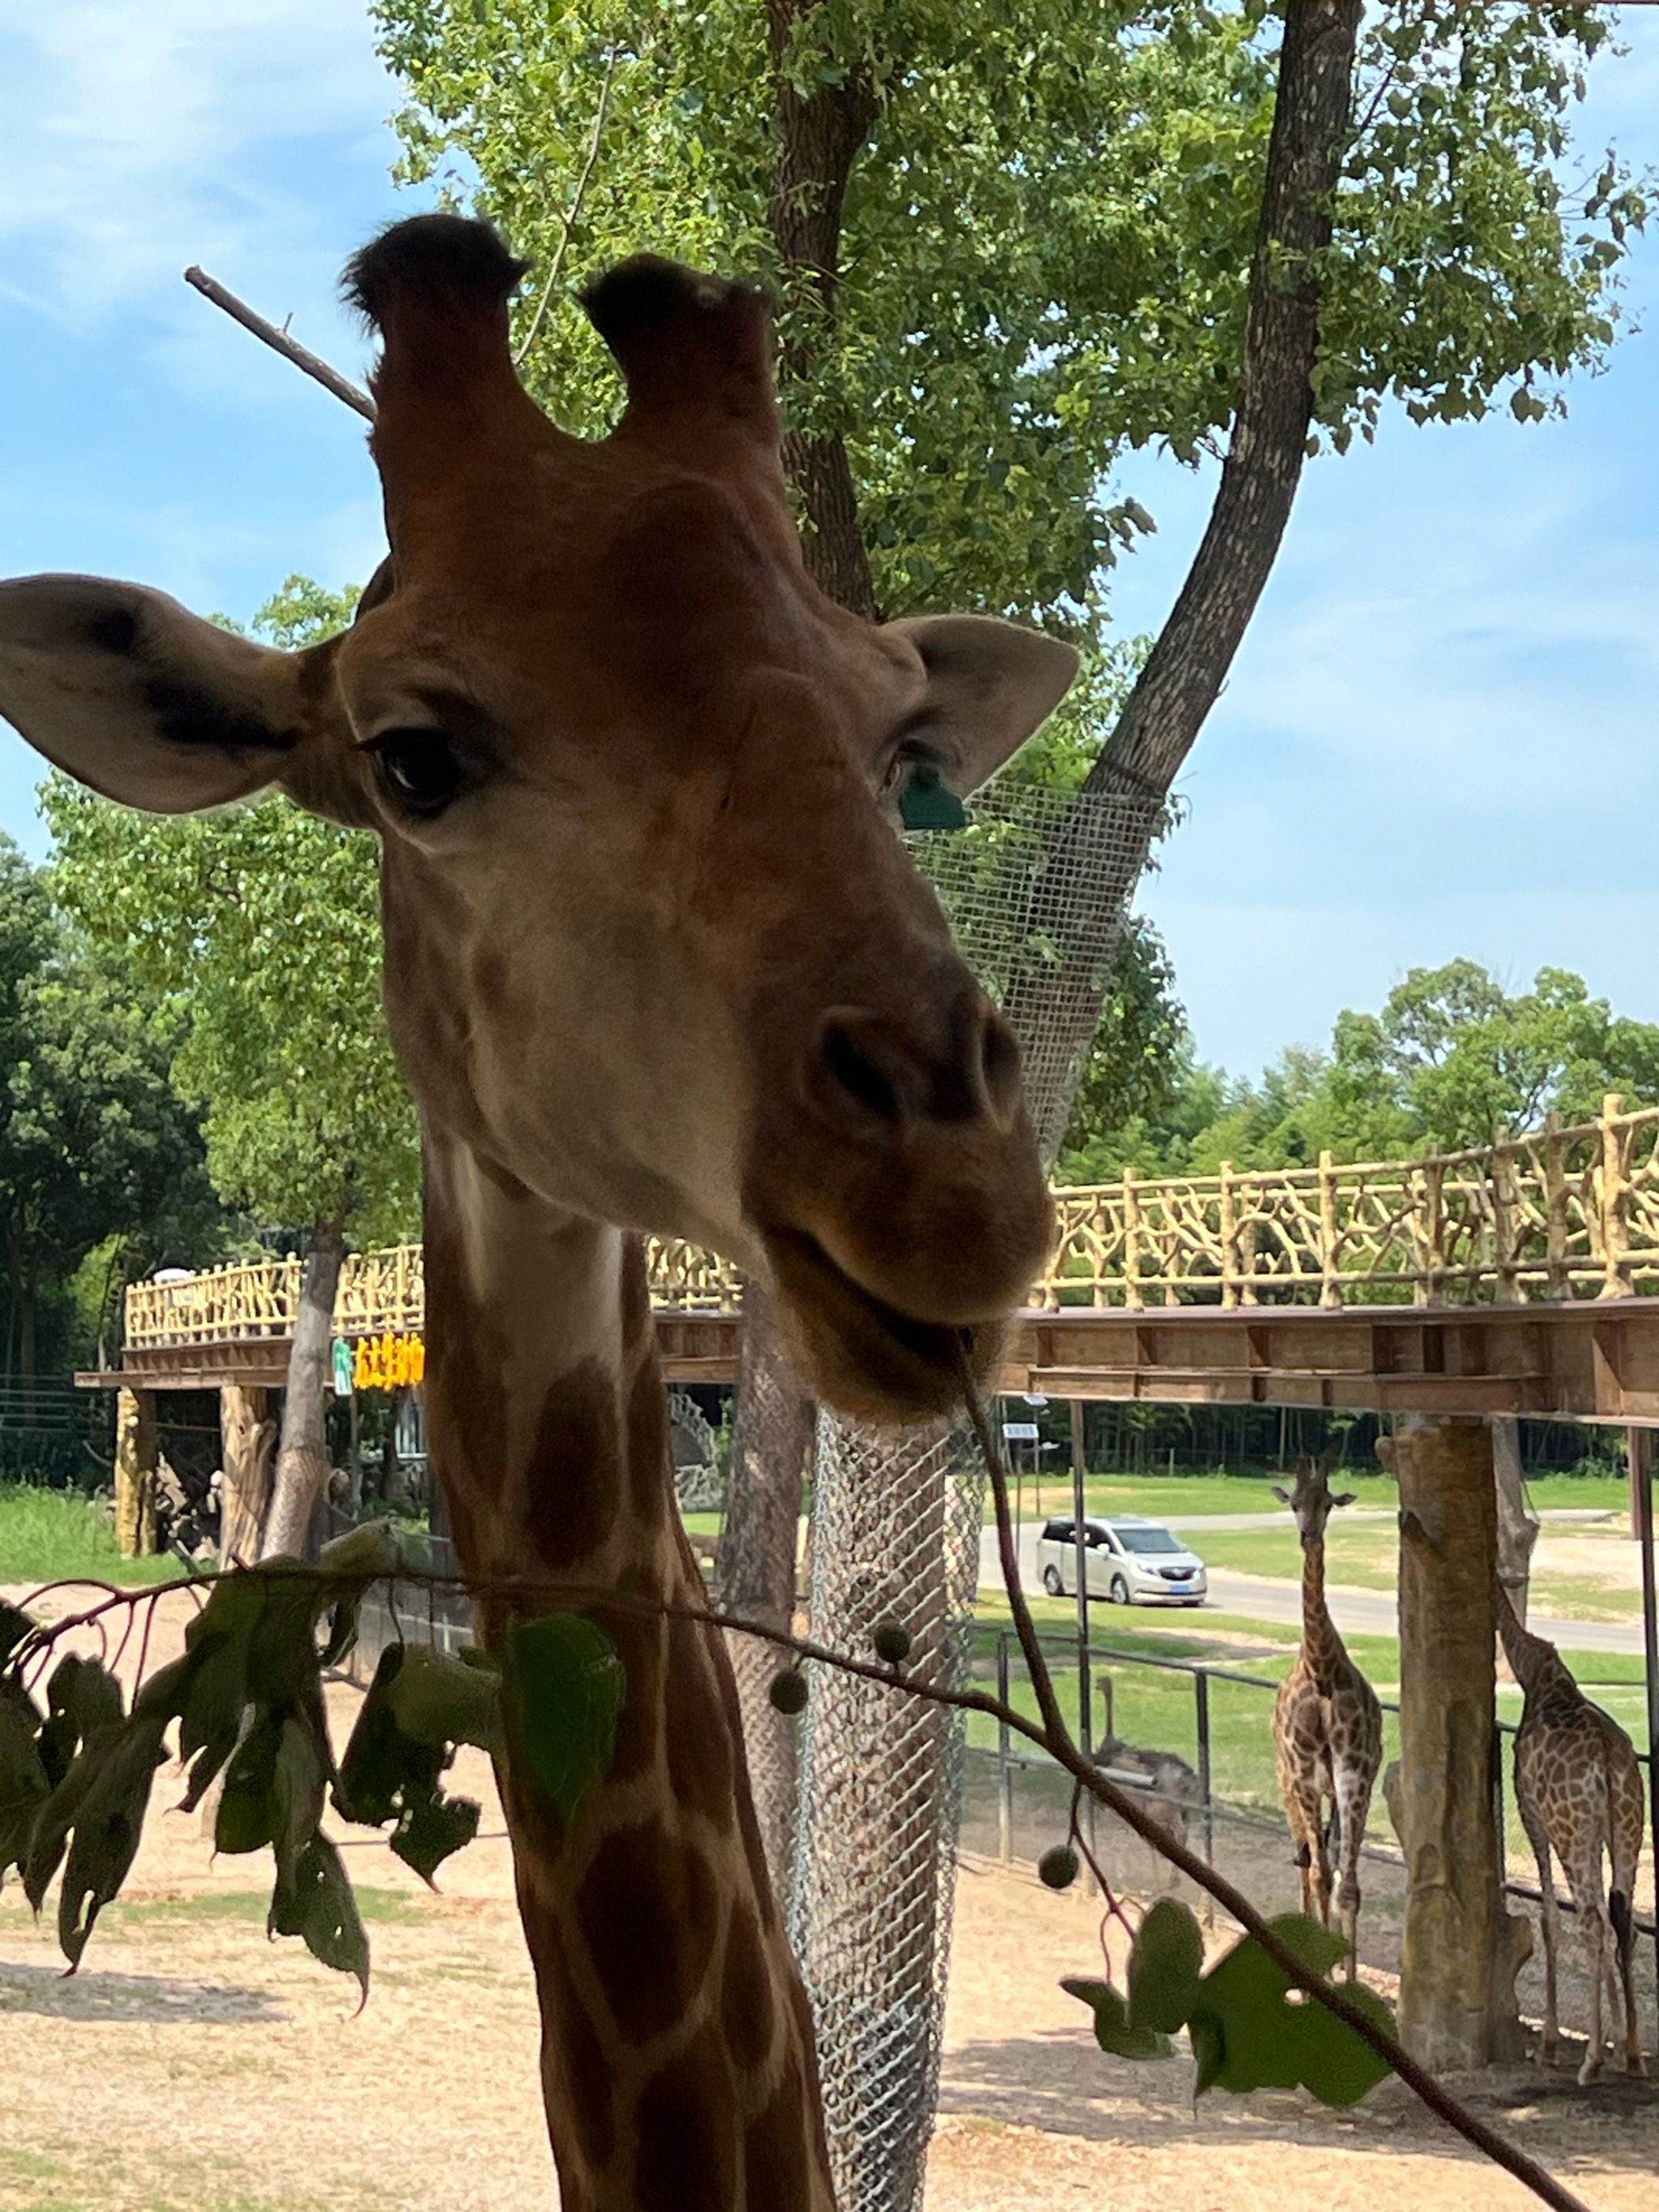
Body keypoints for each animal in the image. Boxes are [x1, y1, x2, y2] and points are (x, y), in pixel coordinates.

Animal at [1503, 1592, 1645, 2070]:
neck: (1533, 1671)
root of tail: (1606, 1759)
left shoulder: (1532, 1817)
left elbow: (1548, 1917)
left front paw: (1549, 2041)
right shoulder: (1599, 1834)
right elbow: (1607, 1910)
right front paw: (1618, 2037)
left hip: (1570, 1831)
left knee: (1590, 1921)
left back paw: (1591, 2061)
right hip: (1626, 1827)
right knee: (1621, 1920)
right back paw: (1633, 2054)